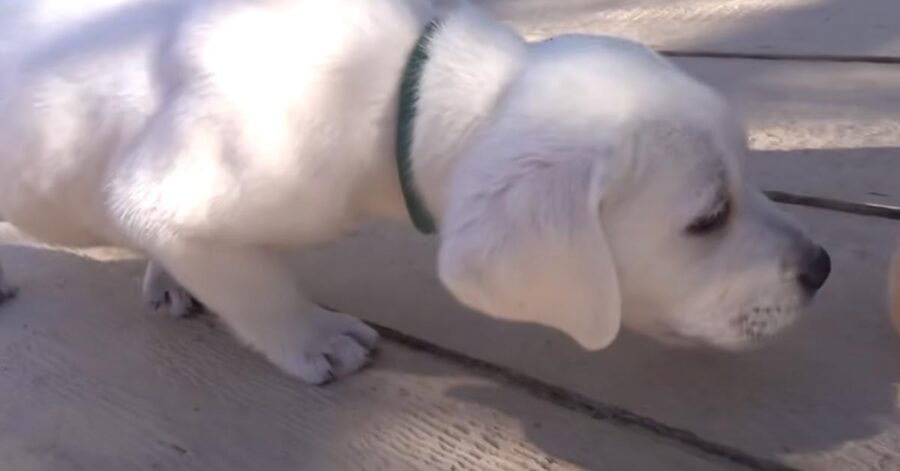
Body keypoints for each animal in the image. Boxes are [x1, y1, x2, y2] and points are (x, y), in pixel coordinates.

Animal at [0, 0, 828, 386]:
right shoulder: (171, 187)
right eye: (708, 218)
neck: (397, 88)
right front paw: (314, 336)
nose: (821, 268)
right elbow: (255, 283)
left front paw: (171, 274)